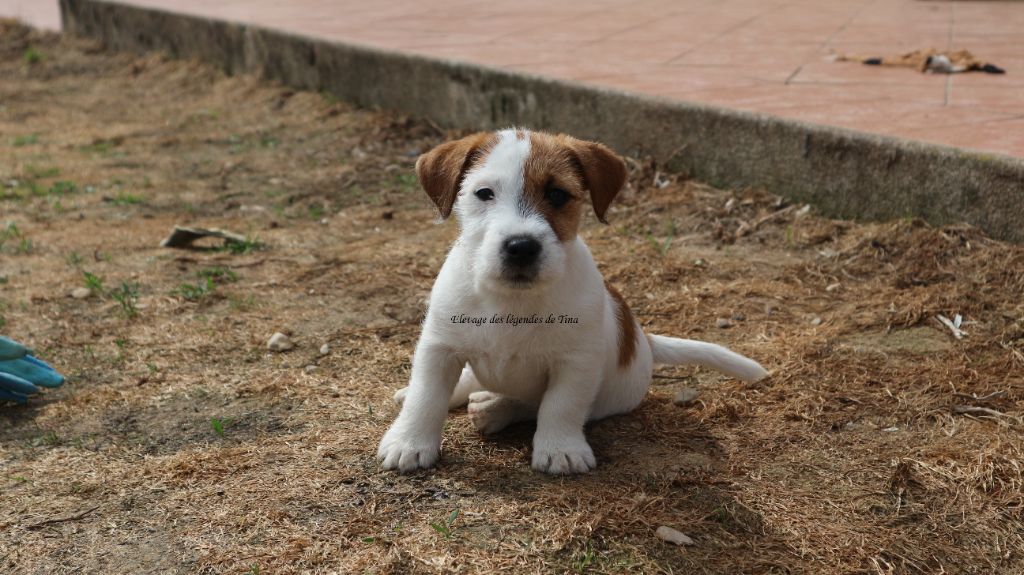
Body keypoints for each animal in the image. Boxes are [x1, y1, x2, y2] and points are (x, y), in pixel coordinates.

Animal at [377, 129, 768, 475]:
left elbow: (559, 406)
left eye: (557, 194)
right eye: (484, 193)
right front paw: (410, 441)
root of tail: (643, 338)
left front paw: (559, 450)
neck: (511, 301)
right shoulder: (439, 348)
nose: (521, 247)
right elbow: (427, 397)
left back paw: (494, 408)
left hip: (608, 398)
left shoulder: (576, 363)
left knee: (531, 404)